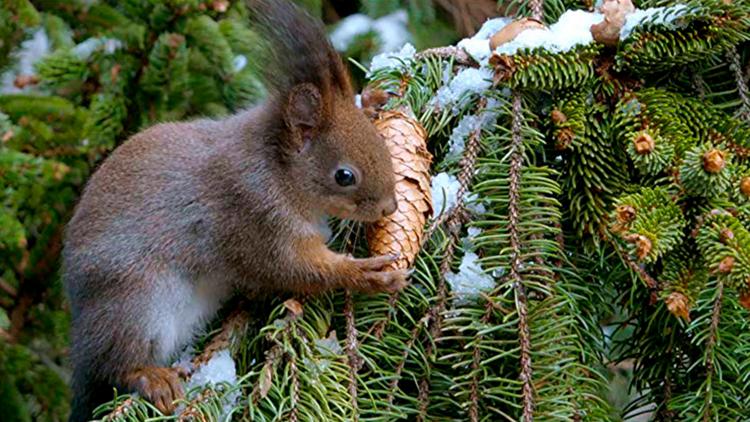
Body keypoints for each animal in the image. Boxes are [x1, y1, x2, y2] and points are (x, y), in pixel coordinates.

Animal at [62, 1, 408, 420]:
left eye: (381, 144)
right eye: (344, 176)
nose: (390, 206)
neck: (278, 172)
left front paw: (372, 101)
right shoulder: (253, 217)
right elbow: (297, 269)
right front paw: (365, 274)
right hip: (133, 302)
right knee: (113, 364)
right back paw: (150, 377)